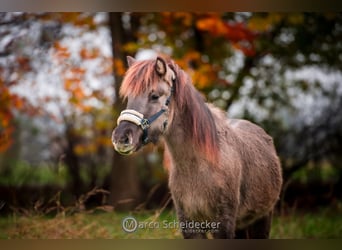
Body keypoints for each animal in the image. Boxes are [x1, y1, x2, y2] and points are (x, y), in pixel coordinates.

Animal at [112, 56, 284, 238]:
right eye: (129, 97)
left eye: (154, 96)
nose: (121, 138)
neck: (198, 166)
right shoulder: (189, 224)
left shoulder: (224, 224)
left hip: (262, 219)